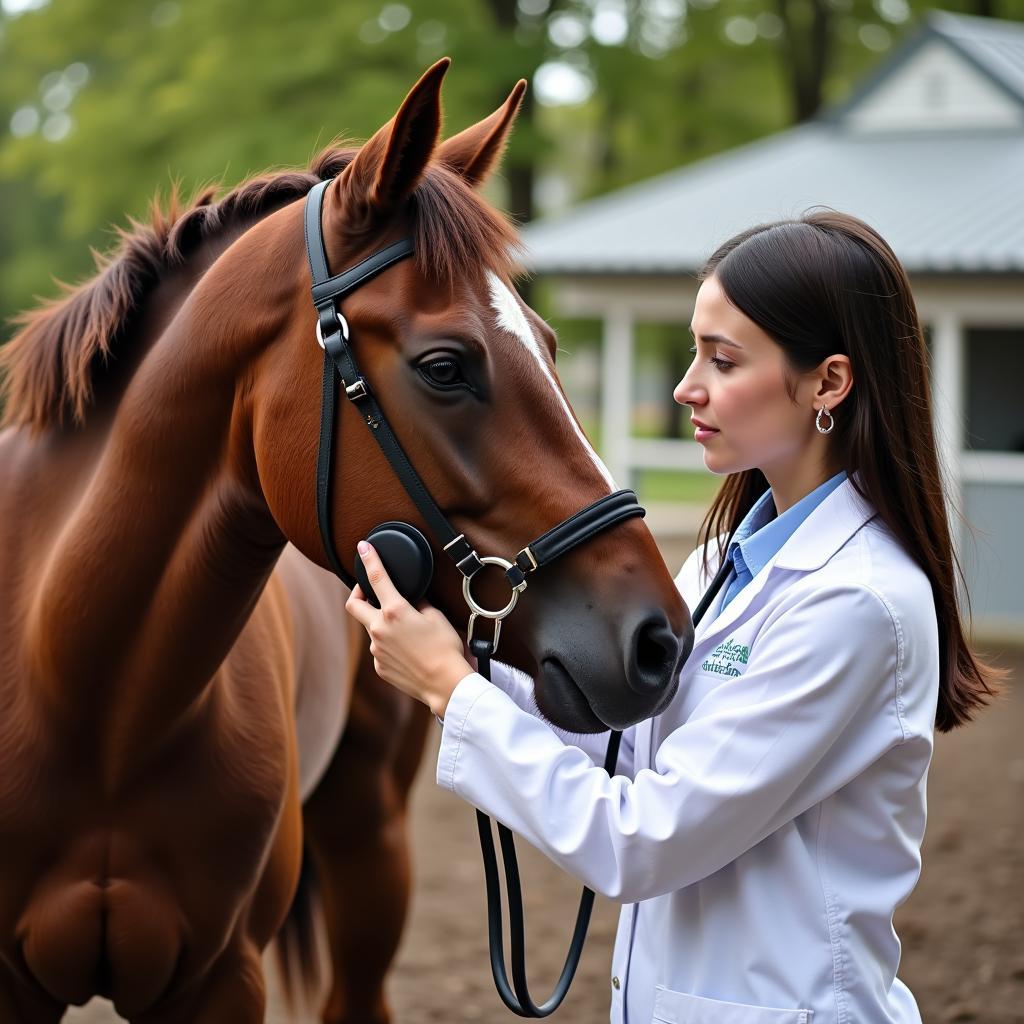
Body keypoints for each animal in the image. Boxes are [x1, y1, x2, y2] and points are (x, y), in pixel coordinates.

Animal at [0, 59, 692, 1019]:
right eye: (445, 366)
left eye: (553, 346)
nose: (659, 640)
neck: (90, 699)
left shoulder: (222, 979)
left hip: (374, 850)